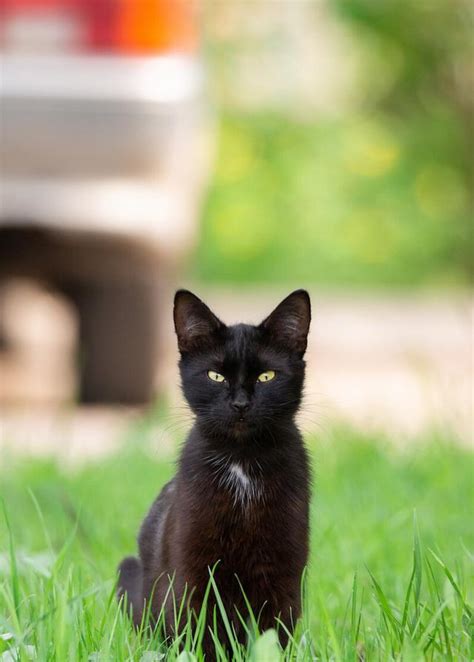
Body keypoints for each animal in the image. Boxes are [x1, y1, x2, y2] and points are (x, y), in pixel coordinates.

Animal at [118, 290, 312, 660]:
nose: (240, 404)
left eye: (267, 376)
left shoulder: (283, 572)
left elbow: (273, 636)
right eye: (215, 376)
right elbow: (201, 632)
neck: (242, 461)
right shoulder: (193, 570)